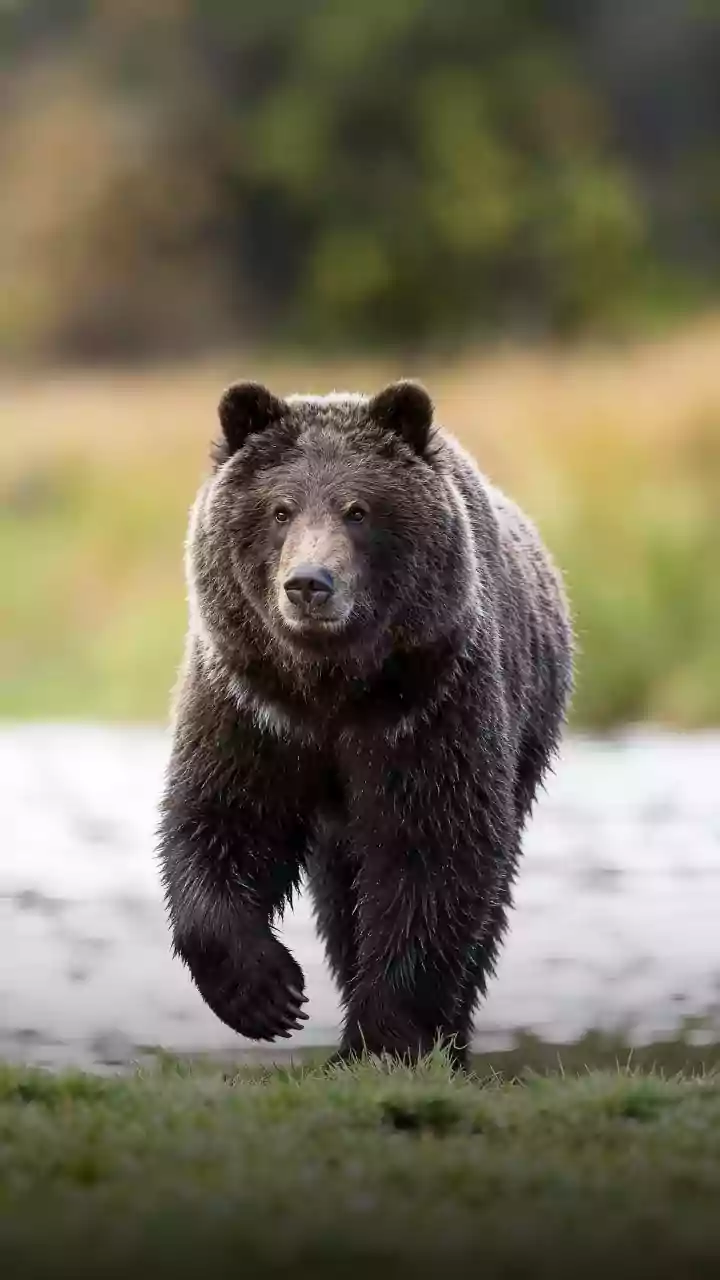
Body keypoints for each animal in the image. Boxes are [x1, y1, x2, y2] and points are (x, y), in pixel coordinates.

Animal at [158, 380, 573, 1071]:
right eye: (280, 509)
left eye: (358, 509)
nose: (309, 584)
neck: (334, 686)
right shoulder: (253, 702)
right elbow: (222, 818)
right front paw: (267, 994)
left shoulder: (428, 705)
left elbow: (431, 858)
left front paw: (384, 1040)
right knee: (340, 893)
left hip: (527, 730)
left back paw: (450, 1039)